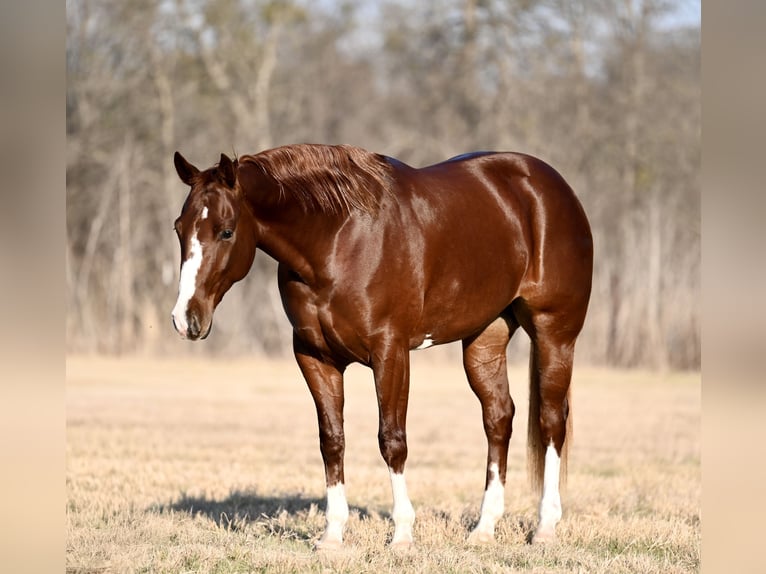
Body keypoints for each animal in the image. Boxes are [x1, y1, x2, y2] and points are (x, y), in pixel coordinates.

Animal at [170, 144, 593, 549]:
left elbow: (392, 440)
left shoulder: (390, 352)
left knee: (551, 421)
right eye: (179, 228)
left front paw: (402, 534)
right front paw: (332, 535)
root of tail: (552, 187)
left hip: (554, 333)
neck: (336, 239)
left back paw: (545, 528)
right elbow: (332, 440)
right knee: (499, 418)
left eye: (226, 231)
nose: (185, 318)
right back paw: (484, 529)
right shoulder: (314, 356)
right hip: (485, 338)